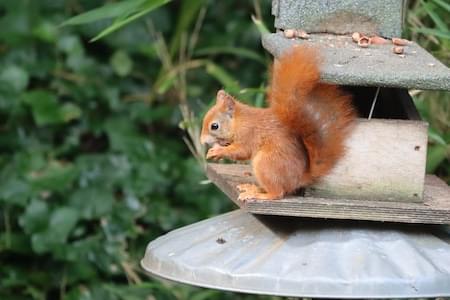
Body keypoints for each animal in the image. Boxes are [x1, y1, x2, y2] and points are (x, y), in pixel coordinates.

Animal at [200, 46, 356, 202]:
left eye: (214, 126)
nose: (202, 142)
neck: (239, 122)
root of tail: (299, 178)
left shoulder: (249, 134)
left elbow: (241, 151)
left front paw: (218, 151)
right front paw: (214, 151)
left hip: (265, 164)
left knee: (277, 192)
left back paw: (258, 194)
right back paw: (252, 188)